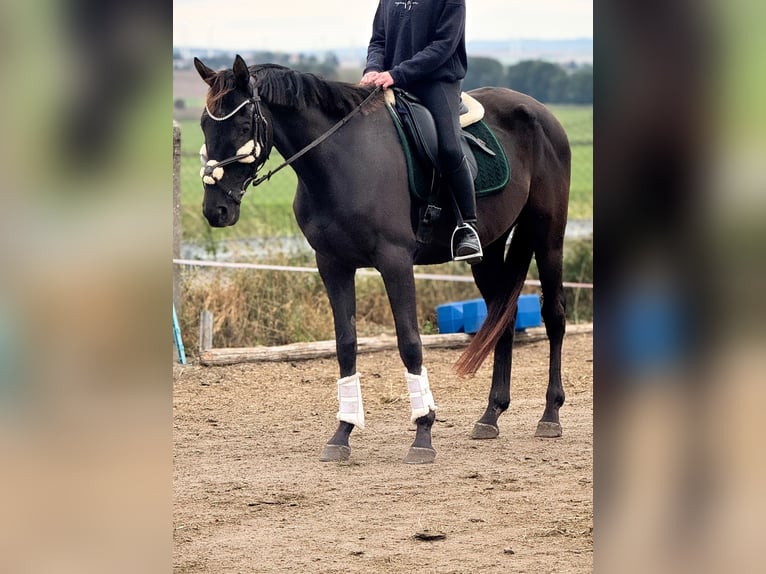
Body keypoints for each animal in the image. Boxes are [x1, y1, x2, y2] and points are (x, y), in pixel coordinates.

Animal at [193, 55, 570, 464]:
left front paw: (423, 433)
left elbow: (409, 342)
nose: (216, 210)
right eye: (204, 125)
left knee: (554, 316)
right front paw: (342, 432)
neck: (341, 160)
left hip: (549, 238)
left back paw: (550, 415)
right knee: (504, 317)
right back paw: (491, 415)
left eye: (244, 125)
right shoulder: (333, 265)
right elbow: (345, 344)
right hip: (487, 251)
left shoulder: (395, 262)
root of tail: (539, 111)